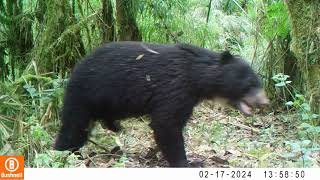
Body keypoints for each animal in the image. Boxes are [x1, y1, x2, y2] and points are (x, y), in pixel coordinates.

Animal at [53, 41, 268, 167]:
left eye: (259, 82)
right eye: (249, 83)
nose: (265, 101)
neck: (196, 76)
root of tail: (73, 72)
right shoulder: (175, 88)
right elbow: (166, 124)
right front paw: (188, 162)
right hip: (85, 96)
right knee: (74, 128)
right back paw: (64, 154)